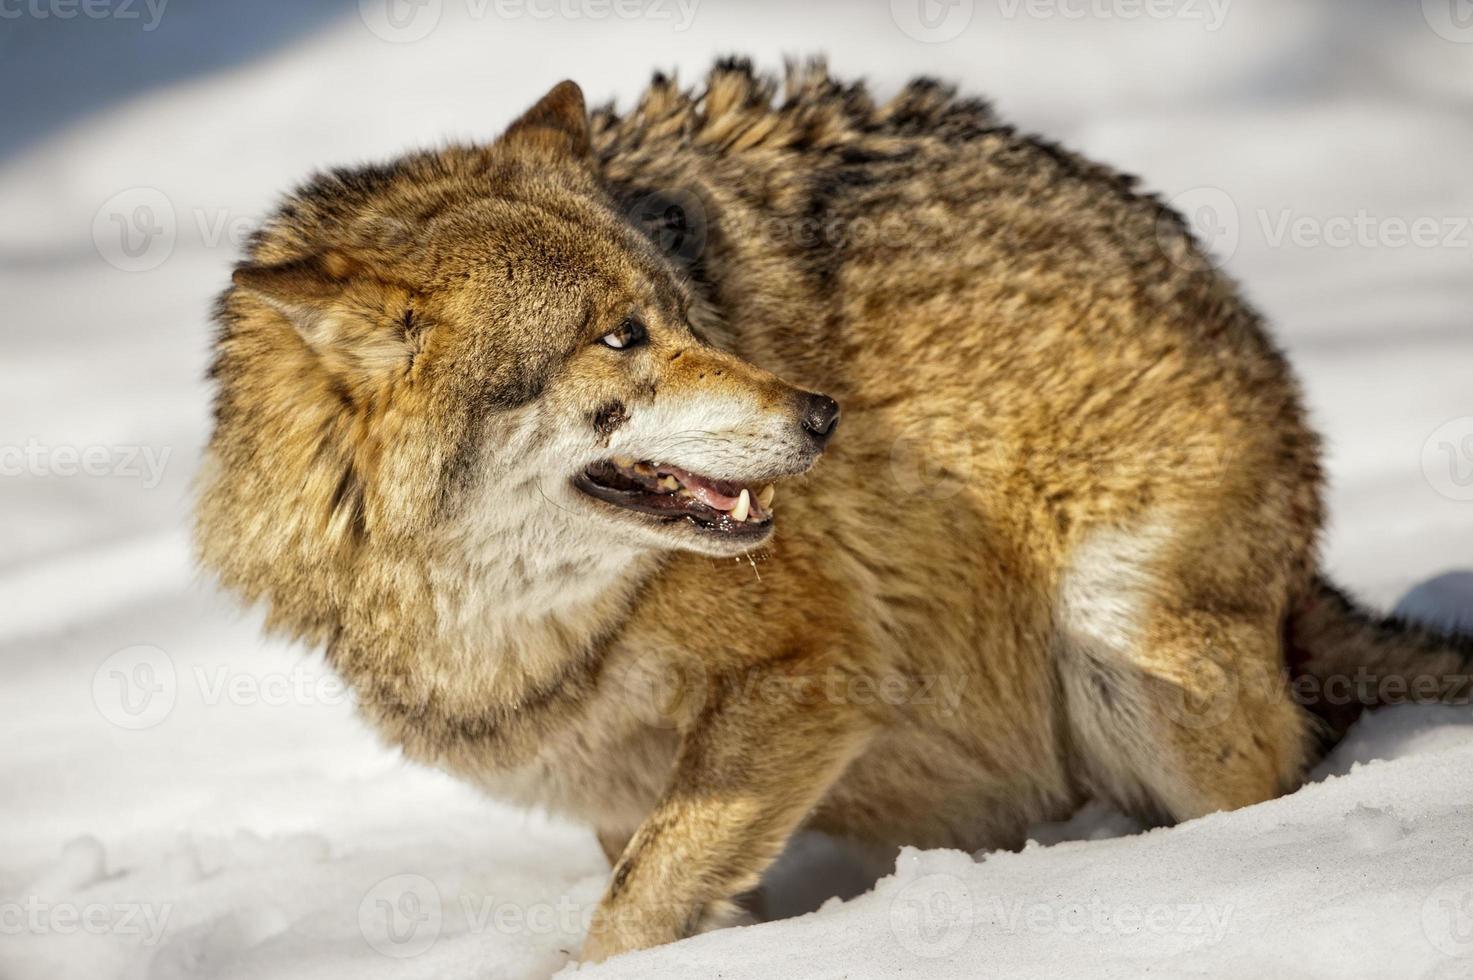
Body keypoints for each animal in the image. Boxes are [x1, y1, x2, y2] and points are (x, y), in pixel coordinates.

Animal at [195, 59, 1473, 954]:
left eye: (683, 311)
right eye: (620, 338)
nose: (822, 414)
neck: (513, 621)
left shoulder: (819, 671)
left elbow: (627, 916)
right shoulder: (626, 790)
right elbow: (661, 888)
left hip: (1125, 649)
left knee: (1269, 780)